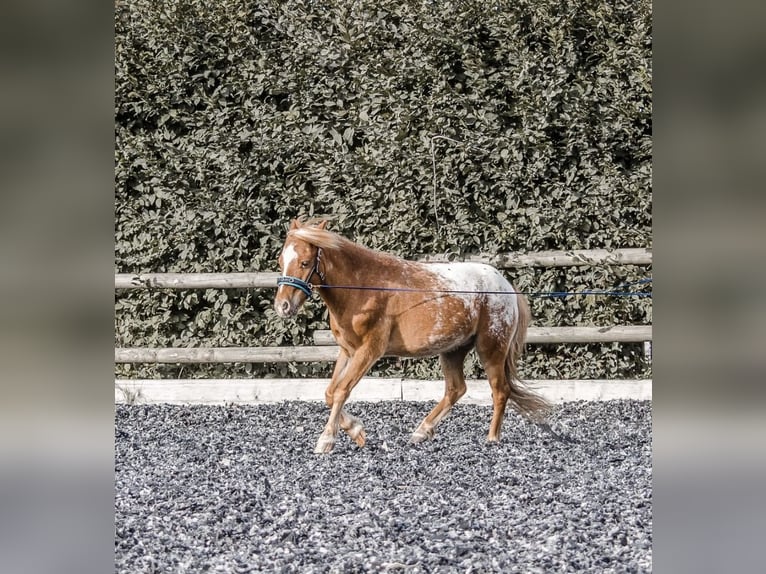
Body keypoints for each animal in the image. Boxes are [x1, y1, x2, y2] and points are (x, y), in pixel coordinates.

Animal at [276, 219, 552, 454]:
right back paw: (421, 432)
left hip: (491, 349)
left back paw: (492, 439)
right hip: (453, 350)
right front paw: (357, 432)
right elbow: (330, 392)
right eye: (281, 260)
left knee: (500, 391)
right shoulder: (348, 351)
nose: (282, 306)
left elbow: (342, 391)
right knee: (456, 389)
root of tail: (506, 285)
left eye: (305, 262)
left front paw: (326, 441)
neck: (362, 288)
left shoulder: (369, 351)